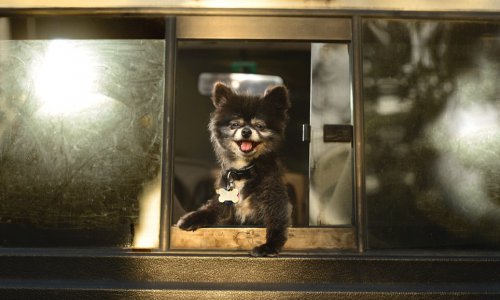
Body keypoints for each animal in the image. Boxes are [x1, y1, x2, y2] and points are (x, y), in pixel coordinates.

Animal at [177, 82, 292, 258]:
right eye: (235, 125)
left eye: (259, 126)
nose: (246, 131)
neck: (244, 170)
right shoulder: (223, 204)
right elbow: (209, 210)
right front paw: (191, 218)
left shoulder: (274, 200)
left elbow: (276, 223)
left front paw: (269, 246)